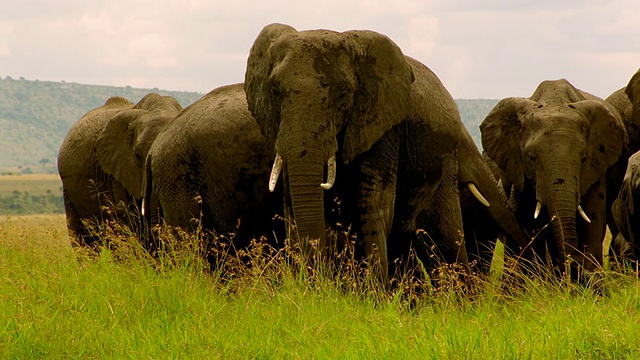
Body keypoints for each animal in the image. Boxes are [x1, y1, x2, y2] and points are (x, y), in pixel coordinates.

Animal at [242, 23, 528, 282]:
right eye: (275, 92)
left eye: (343, 96)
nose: (316, 282)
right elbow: (291, 202)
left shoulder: (384, 125)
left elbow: (374, 204)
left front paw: (372, 296)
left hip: (444, 165)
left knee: (445, 242)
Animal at [480, 79, 624, 278]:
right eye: (531, 157)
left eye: (583, 159)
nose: (576, 268)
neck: (554, 101)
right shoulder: (517, 167)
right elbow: (522, 219)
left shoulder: (597, 166)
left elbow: (593, 222)